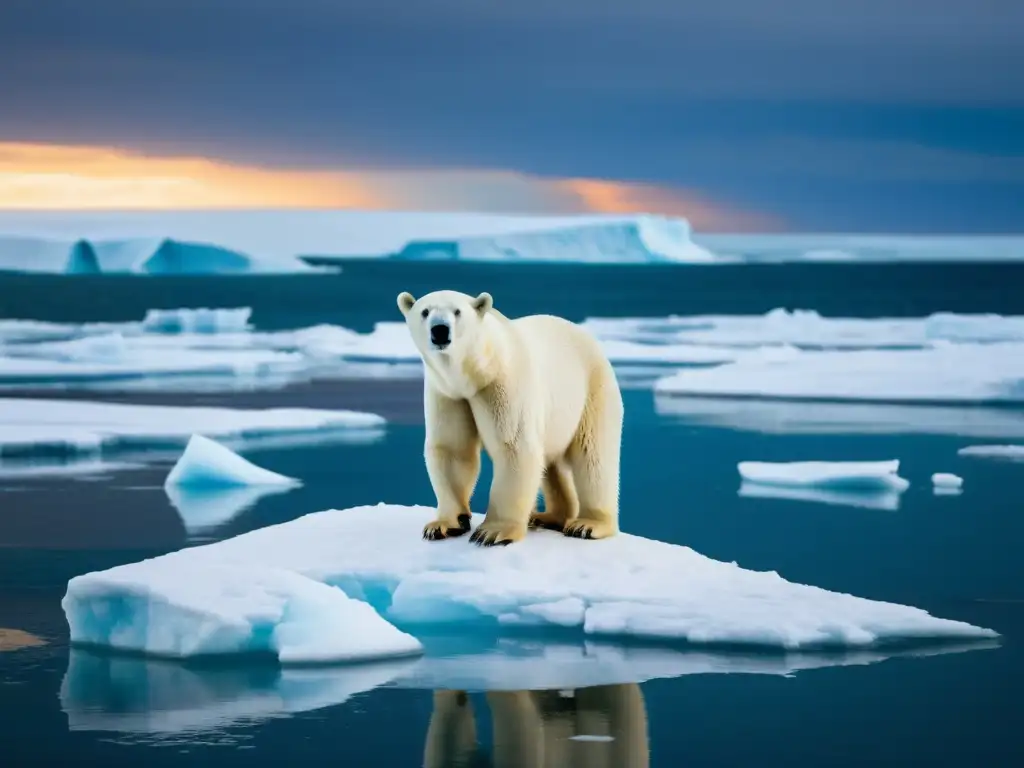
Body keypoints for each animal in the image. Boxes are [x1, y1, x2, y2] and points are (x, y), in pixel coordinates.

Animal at [397, 288, 622, 548]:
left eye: (457, 311)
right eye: (425, 311)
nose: (440, 330)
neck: (477, 372)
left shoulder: (503, 385)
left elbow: (514, 447)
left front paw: (491, 532)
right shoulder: (448, 394)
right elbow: (453, 449)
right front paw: (444, 525)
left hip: (592, 390)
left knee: (593, 455)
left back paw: (587, 524)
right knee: (552, 462)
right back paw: (548, 516)